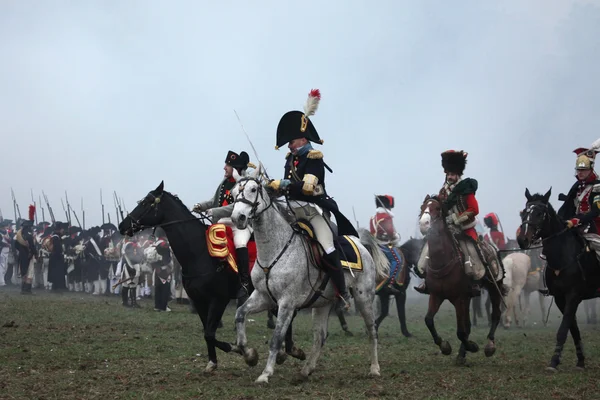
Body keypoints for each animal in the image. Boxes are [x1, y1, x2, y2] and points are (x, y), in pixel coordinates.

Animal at [227, 166, 386, 384]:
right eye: (234, 193)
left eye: (253, 189)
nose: (238, 218)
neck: (273, 252)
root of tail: (361, 244)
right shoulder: (263, 297)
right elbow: (240, 314)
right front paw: (249, 355)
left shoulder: (287, 303)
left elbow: (276, 339)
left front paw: (265, 374)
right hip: (322, 303)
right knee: (320, 336)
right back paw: (305, 370)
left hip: (364, 299)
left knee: (372, 331)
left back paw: (375, 368)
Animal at [420, 195, 504, 364]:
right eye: (423, 207)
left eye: (437, 208)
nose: (423, 224)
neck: (442, 261)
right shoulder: (436, 296)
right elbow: (429, 320)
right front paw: (445, 346)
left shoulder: (459, 298)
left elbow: (460, 331)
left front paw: (472, 346)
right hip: (468, 297)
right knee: (468, 325)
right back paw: (461, 354)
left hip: (494, 287)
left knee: (496, 314)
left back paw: (489, 345)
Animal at [516, 188, 600, 372]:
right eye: (524, 212)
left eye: (540, 213)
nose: (522, 239)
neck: (563, 255)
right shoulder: (561, 298)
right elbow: (573, 328)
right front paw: (580, 361)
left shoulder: (573, 296)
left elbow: (563, 330)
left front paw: (554, 362)